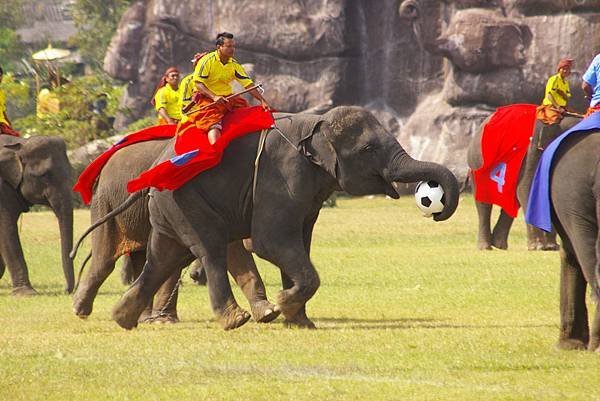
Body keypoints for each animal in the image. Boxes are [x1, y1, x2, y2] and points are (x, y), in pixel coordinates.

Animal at [0, 134, 75, 294]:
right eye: (44, 175)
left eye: (71, 171)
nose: (66, 290)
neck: (18, 144)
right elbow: (6, 228)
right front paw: (26, 294)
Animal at [73, 138, 282, 324]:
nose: (195, 276)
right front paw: (164, 322)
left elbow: (234, 251)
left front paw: (268, 313)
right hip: (105, 202)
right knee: (105, 259)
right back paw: (79, 310)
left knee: (141, 258)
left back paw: (140, 317)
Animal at [104, 105, 460, 328]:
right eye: (368, 149)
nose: (434, 210)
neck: (317, 123)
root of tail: (154, 169)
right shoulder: (282, 175)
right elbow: (271, 241)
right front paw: (284, 303)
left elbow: (300, 242)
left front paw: (301, 322)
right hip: (185, 201)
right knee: (209, 249)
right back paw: (234, 320)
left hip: (171, 207)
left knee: (163, 257)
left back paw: (122, 318)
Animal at [466, 114, 580, 248]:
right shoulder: (532, 150)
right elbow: (527, 188)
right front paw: (539, 247)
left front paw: (551, 247)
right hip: (477, 163)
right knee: (484, 203)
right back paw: (486, 247)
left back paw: (500, 245)